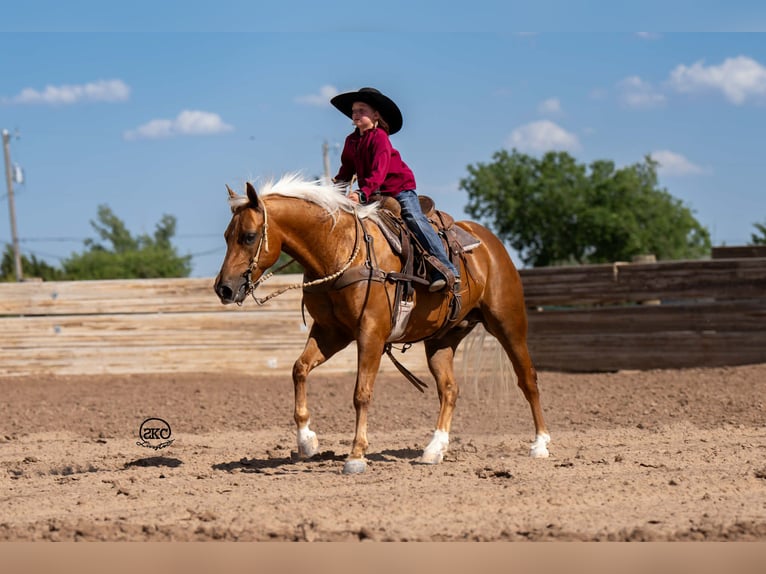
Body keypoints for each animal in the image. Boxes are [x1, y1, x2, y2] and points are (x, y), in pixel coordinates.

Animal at [214, 174, 550, 474]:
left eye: (249, 236)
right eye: (227, 236)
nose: (224, 289)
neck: (341, 249)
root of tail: (491, 244)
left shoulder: (371, 333)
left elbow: (361, 392)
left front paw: (356, 456)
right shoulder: (330, 333)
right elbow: (300, 369)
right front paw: (307, 441)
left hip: (508, 324)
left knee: (528, 379)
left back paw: (540, 444)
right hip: (441, 339)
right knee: (449, 389)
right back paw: (433, 450)